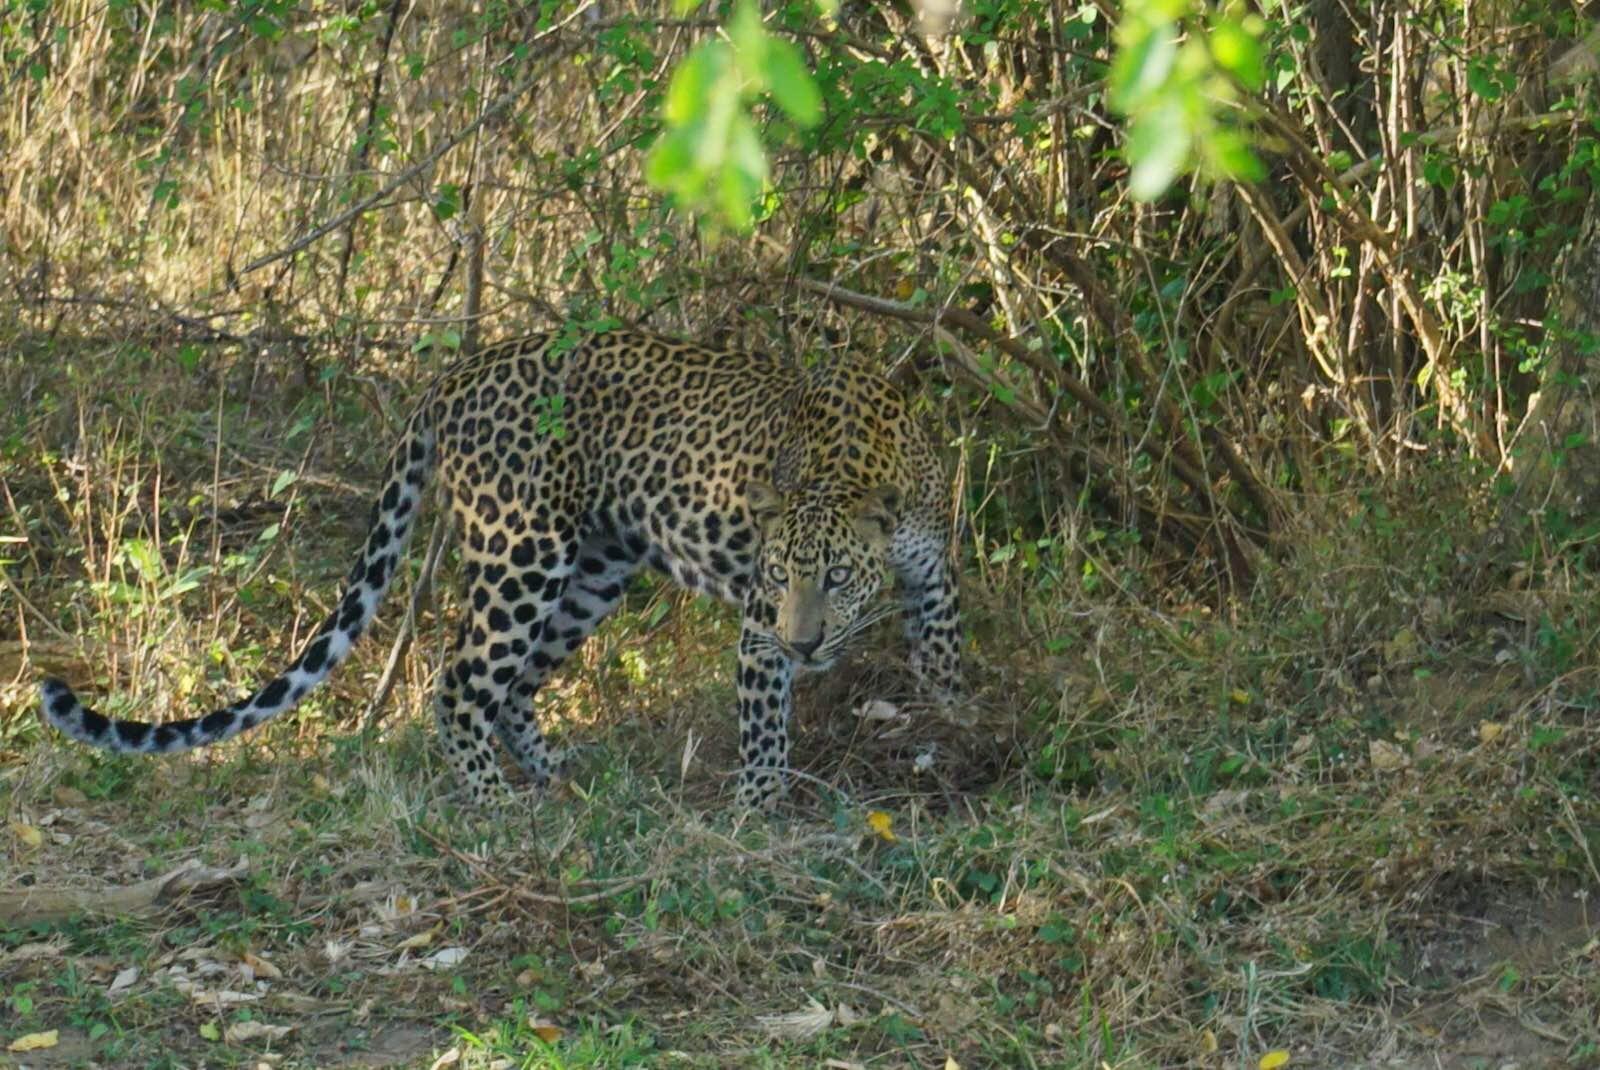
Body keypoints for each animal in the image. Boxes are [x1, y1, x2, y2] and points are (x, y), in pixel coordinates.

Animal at [40, 329, 960, 806]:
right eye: (777, 580)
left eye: (836, 579)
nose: (805, 644)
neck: (858, 465)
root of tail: (454, 373)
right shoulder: (756, 628)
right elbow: (765, 728)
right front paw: (758, 810)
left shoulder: (934, 574)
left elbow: (943, 661)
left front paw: (952, 734)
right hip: (523, 552)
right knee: (459, 686)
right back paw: (496, 807)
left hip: (592, 570)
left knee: (512, 687)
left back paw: (560, 779)